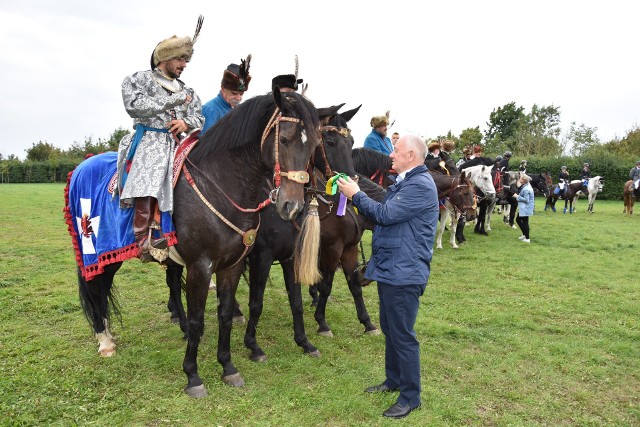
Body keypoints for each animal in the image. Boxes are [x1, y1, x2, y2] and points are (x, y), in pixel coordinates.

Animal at [66, 90, 320, 398]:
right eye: (283, 140)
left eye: (314, 145)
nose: (292, 206)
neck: (221, 184)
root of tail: (83, 165)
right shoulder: (201, 267)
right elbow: (200, 320)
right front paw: (193, 376)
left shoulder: (232, 265)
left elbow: (225, 314)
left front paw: (228, 367)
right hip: (100, 254)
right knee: (96, 289)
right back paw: (104, 340)